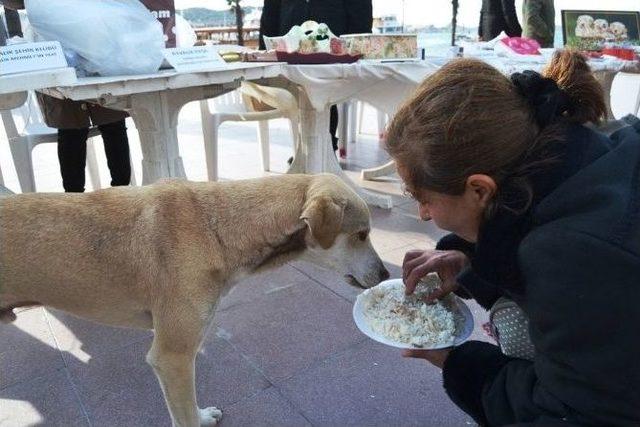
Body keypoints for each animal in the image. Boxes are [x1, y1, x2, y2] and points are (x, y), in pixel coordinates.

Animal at [0, 175, 390, 427]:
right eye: (362, 234)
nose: (386, 273)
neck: (216, 227)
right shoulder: (171, 358)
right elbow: (183, 415)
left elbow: (190, 409)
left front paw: (203, 415)